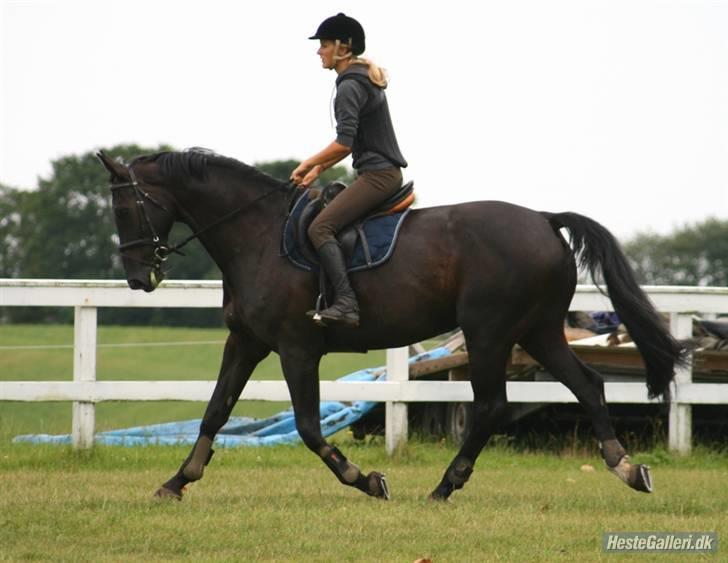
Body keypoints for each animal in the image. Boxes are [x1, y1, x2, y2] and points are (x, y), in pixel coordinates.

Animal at [99, 149, 684, 502]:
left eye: (125, 208)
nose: (138, 278)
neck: (256, 235)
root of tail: (543, 219)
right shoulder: (246, 342)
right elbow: (215, 411)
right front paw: (177, 481)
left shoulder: (295, 348)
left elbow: (308, 427)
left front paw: (365, 479)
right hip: (536, 331)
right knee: (588, 384)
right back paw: (626, 468)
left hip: (490, 332)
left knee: (491, 406)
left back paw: (445, 486)